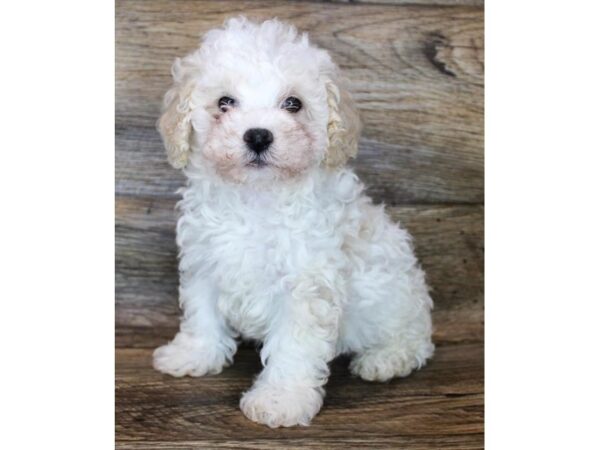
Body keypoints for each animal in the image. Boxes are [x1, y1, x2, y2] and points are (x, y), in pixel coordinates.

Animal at [152, 17, 434, 428]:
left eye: (293, 104)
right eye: (224, 103)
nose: (257, 135)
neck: (256, 198)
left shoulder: (306, 285)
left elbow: (294, 345)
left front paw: (280, 399)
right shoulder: (205, 261)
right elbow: (201, 313)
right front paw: (194, 354)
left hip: (397, 298)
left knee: (415, 339)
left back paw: (386, 359)